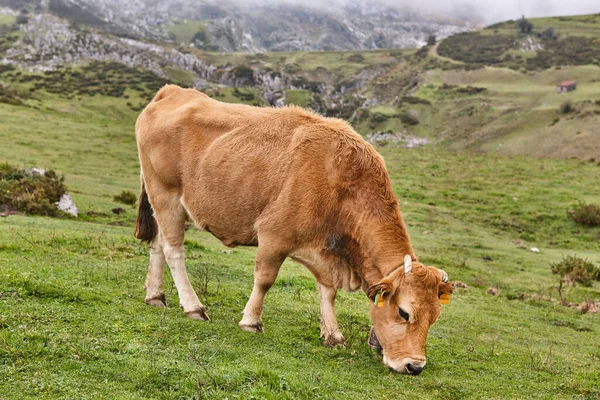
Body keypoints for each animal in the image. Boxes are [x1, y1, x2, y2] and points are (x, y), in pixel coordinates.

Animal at [135, 85, 454, 376]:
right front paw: (251, 321)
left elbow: (327, 292)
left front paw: (333, 335)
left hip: (164, 202)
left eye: (435, 317)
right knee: (173, 250)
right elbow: (265, 280)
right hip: (165, 194)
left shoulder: (325, 252)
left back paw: (155, 296)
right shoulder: (274, 236)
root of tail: (173, 91)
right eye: (404, 312)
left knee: (158, 244)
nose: (415, 366)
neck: (340, 183)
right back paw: (193, 307)